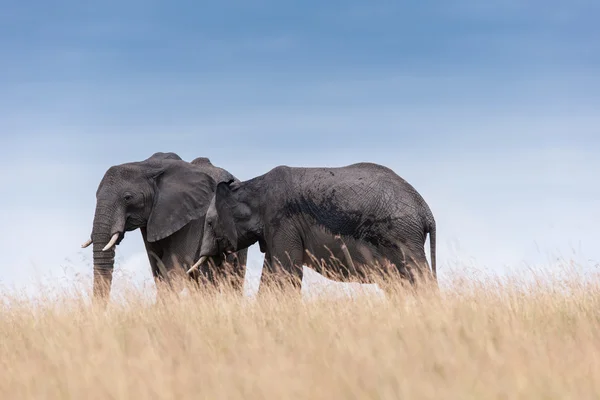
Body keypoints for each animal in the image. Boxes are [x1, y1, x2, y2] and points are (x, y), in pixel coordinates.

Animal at [189, 161, 436, 296]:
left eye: (209, 223)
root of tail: (426, 212)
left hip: (402, 234)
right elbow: (272, 272)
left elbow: (286, 273)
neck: (251, 187)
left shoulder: (281, 220)